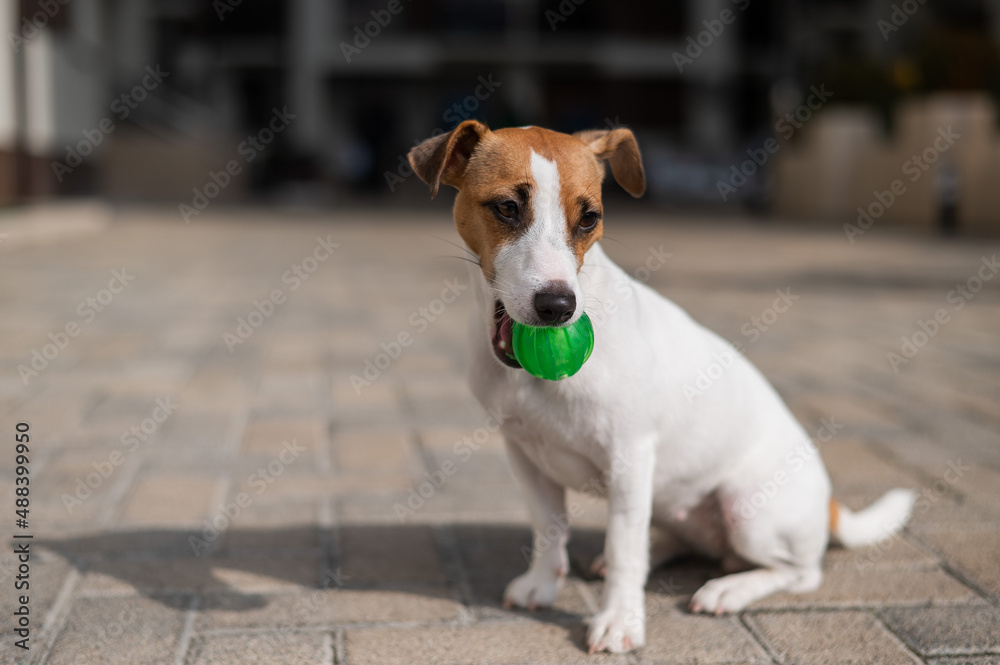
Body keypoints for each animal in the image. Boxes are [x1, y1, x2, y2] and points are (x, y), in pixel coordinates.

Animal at [406, 122, 916, 652]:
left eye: (589, 219)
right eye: (507, 207)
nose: (559, 307)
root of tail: (830, 507)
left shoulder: (629, 457)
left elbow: (625, 549)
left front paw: (619, 620)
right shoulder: (525, 455)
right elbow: (549, 528)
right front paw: (542, 584)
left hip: (749, 511)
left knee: (799, 571)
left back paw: (729, 588)